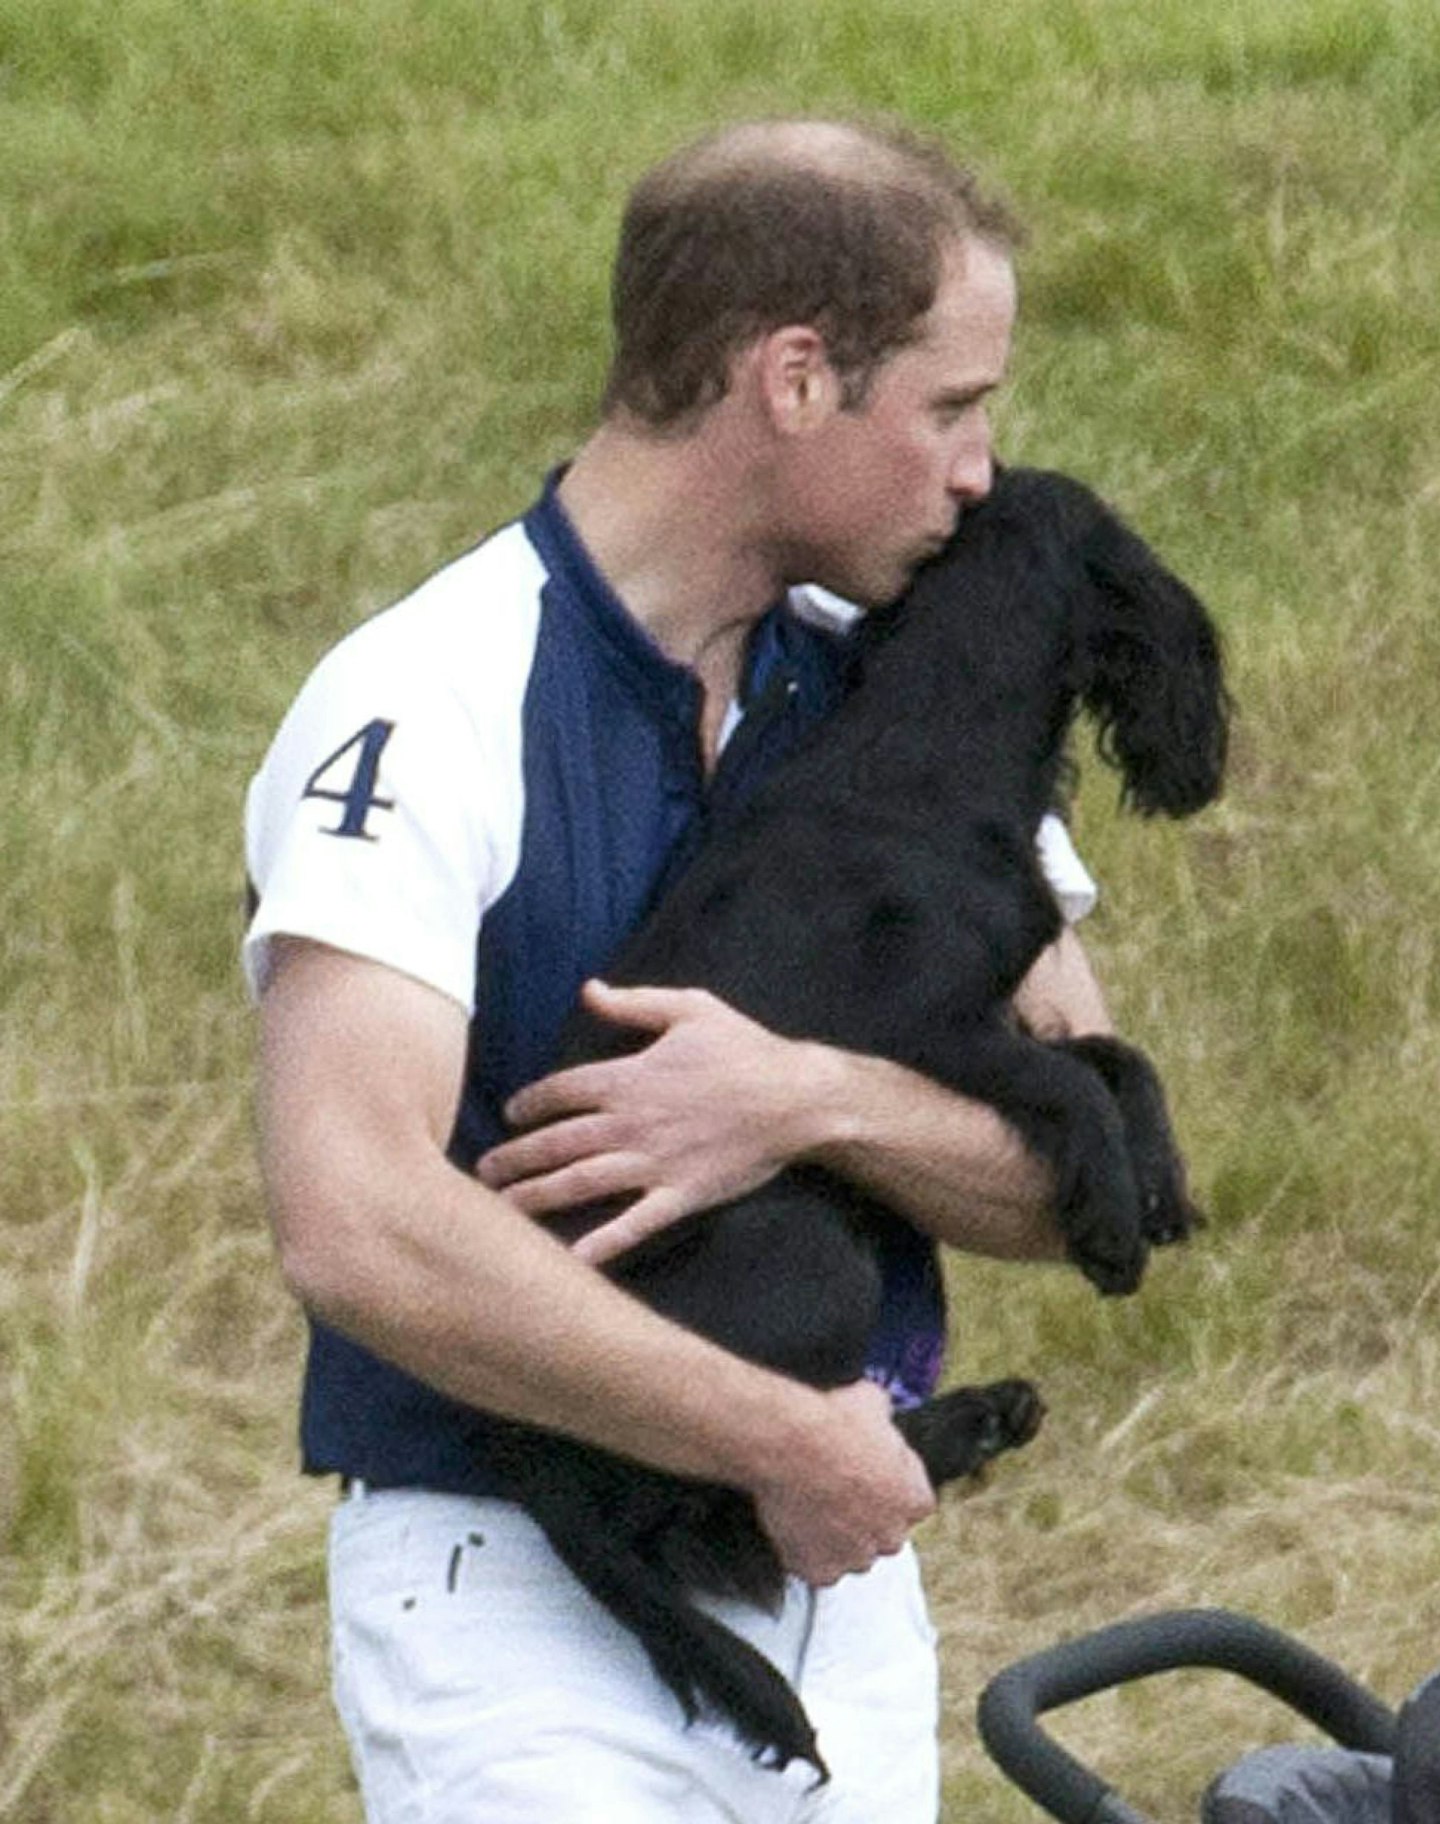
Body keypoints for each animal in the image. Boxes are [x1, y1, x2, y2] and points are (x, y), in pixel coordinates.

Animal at [481, 466, 1226, 1780]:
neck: (923, 756)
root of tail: (529, 1463)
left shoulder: (1001, 1009)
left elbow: (1116, 1058)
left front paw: (1157, 1183)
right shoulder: (922, 1030)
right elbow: (1072, 1083)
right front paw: (1109, 1222)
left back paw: (982, 1418)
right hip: (803, 1263)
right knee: (707, 1512)